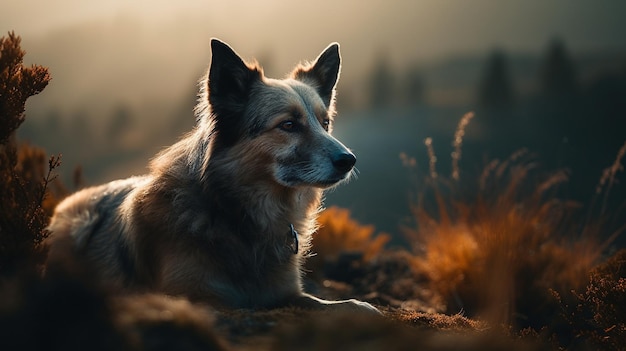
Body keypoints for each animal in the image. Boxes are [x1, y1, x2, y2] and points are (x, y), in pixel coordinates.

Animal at [46, 40, 378, 314]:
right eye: (288, 125)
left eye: (325, 123)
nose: (348, 161)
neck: (235, 213)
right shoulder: (197, 297)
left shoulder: (287, 294)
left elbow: (347, 306)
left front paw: (361, 306)